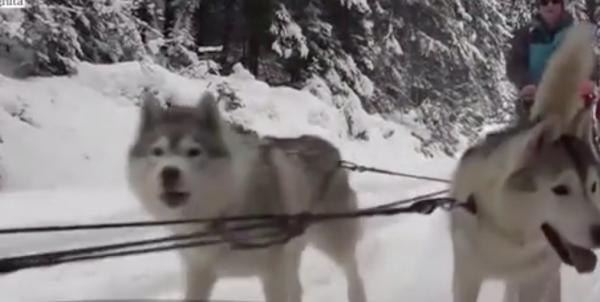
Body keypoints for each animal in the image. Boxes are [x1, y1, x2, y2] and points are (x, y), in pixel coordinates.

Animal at [126, 89, 366, 302]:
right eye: (157, 152)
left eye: (193, 151)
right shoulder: (199, 272)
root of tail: (332, 150)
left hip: (333, 239)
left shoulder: (272, 274)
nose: (169, 173)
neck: (224, 211)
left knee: (352, 269)